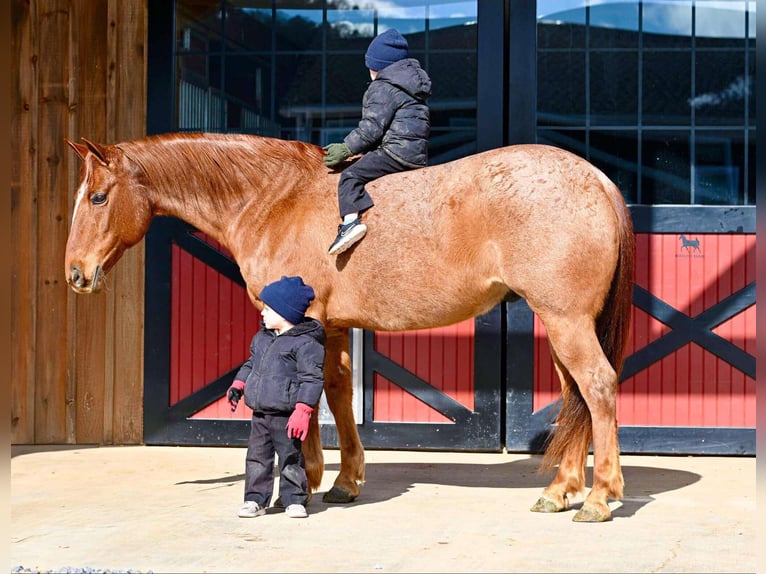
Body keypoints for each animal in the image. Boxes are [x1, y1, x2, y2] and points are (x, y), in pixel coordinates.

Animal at [63, 133, 636, 524]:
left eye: (97, 198)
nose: (75, 274)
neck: (274, 200)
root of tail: (599, 181)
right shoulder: (334, 326)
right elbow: (336, 393)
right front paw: (342, 479)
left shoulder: (305, 322)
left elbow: (309, 396)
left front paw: (305, 478)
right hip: (560, 325)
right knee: (576, 397)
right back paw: (559, 492)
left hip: (566, 322)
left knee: (598, 387)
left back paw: (600, 496)